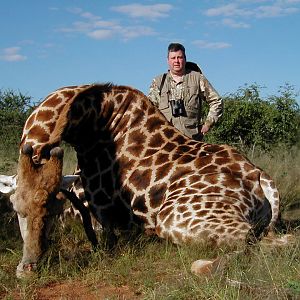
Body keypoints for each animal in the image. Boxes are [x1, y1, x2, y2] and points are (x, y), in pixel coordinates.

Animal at [9, 83, 282, 278]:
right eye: (17, 209)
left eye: (52, 212)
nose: (28, 269)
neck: (88, 128)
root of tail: (261, 177)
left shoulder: (101, 215)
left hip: (176, 217)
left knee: (253, 240)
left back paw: (202, 266)